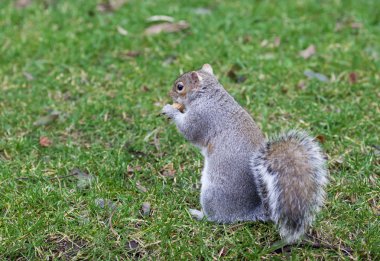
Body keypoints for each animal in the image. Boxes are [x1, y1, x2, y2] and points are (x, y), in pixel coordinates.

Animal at [162, 63, 328, 242]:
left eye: (180, 87)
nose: (169, 94)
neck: (207, 94)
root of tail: (247, 212)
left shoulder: (202, 117)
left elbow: (189, 130)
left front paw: (170, 110)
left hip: (212, 194)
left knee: (215, 218)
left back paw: (199, 214)